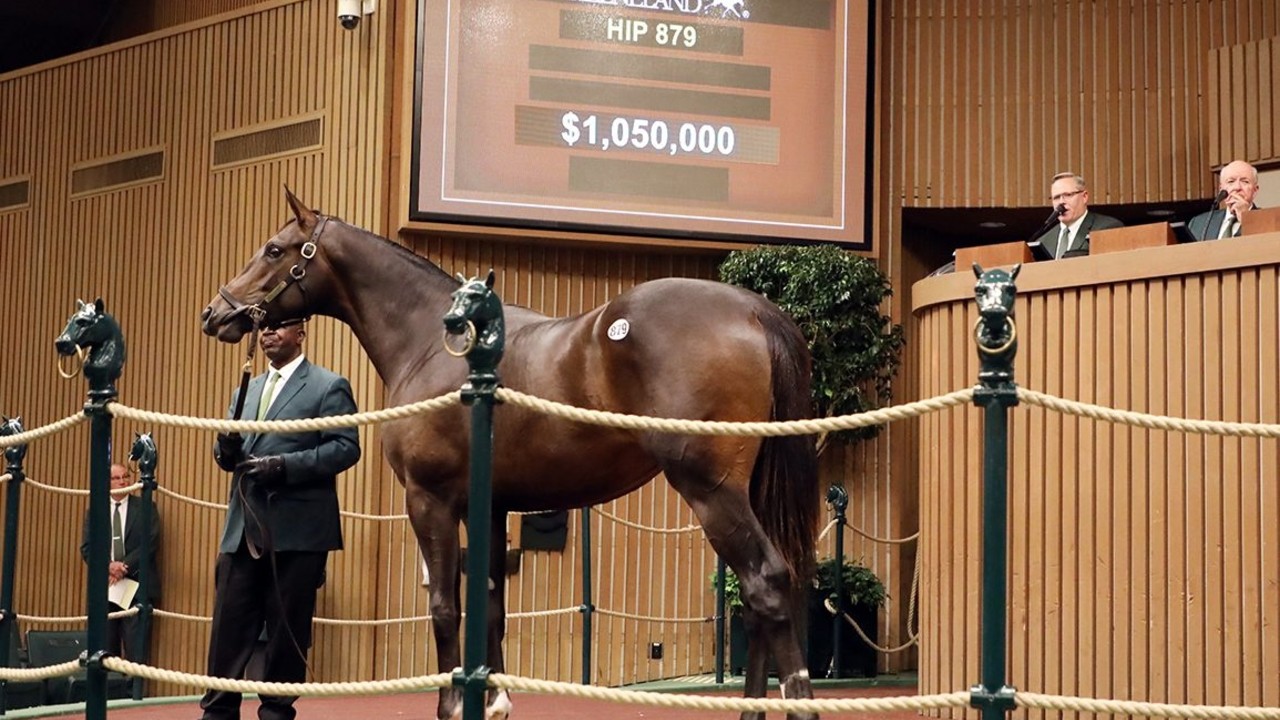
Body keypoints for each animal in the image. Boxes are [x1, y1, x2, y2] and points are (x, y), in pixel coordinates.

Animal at [199, 190, 819, 717]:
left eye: (274, 249)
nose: (215, 313)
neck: (432, 341)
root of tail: (754, 310)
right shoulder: (493, 507)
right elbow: (491, 602)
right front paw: (492, 698)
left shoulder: (430, 499)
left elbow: (445, 603)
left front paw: (452, 703)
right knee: (765, 596)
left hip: (710, 489)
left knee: (766, 581)